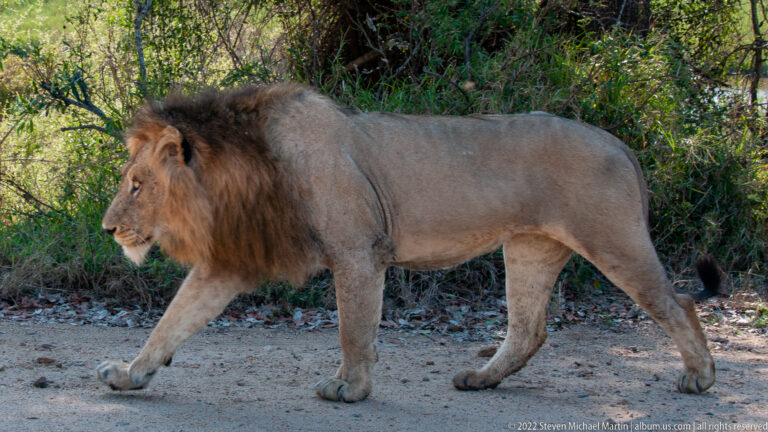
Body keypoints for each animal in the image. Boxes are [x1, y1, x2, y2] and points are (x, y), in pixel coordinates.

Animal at [98, 83, 720, 401]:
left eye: (136, 184)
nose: (107, 229)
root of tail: (618, 142)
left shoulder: (358, 250)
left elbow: (354, 329)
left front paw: (349, 387)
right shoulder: (230, 261)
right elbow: (172, 321)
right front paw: (131, 375)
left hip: (612, 239)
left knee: (677, 302)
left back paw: (700, 377)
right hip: (529, 247)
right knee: (529, 329)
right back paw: (481, 379)